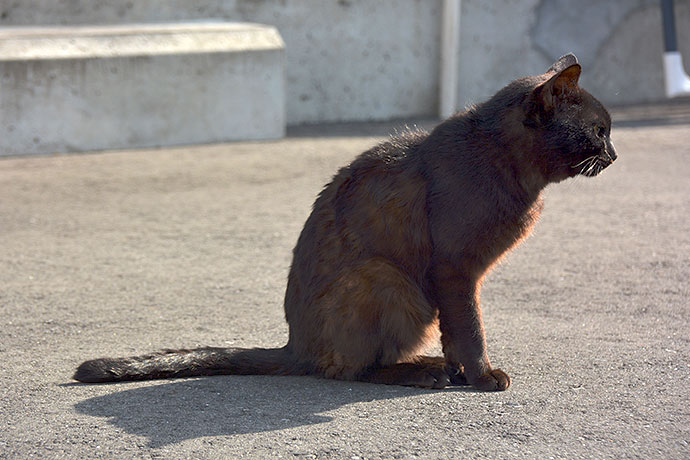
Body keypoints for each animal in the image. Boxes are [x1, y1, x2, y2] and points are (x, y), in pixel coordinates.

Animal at [74, 54, 612, 392]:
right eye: (599, 131)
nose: (614, 154)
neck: (513, 172)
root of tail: (294, 346)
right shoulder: (455, 271)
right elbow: (469, 328)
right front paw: (481, 377)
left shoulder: (456, 280)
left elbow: (457, 332)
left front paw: (462, 371)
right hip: (388, 279)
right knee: (347, 370)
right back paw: (420, 372)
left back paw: (428, 366)